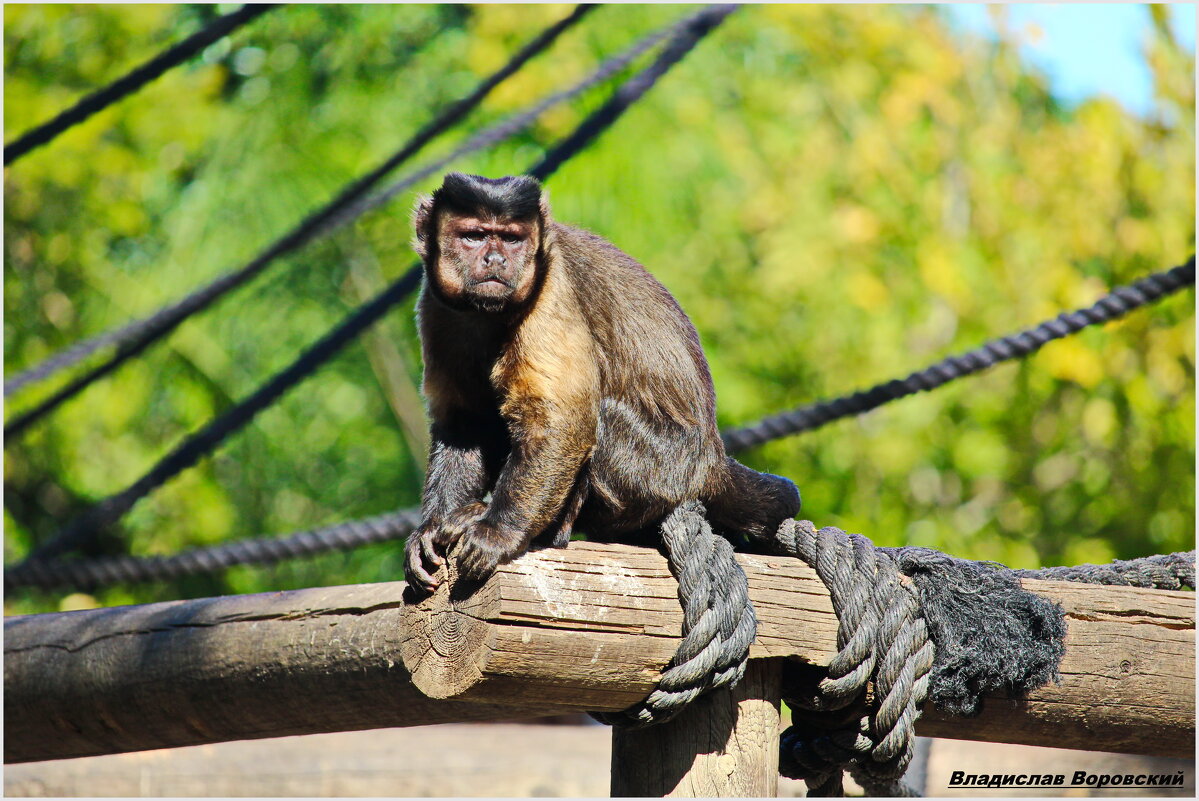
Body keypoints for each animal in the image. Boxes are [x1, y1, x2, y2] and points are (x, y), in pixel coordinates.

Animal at [405, 172, 805, 592]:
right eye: (474, 236)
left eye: (512, 239)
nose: (496, 259)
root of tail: (712, 460)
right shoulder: (435, 305)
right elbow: (464, 421)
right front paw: (429, 529)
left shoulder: (552, 291)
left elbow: (563, 422)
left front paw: (499, 532)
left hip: (667, 470)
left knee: (601, 416)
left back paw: (548, 532)